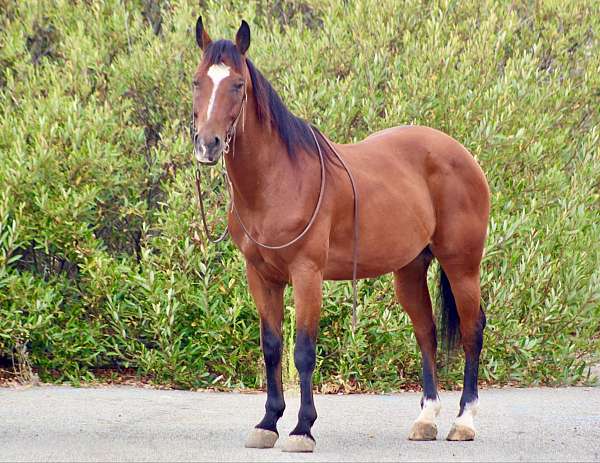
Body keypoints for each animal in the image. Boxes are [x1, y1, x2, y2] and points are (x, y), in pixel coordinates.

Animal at [190, 17, 490, 454]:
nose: (208, 144)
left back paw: (463, 421)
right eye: (197, 81)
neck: (279, 178)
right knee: (426, 332)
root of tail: (462, 155)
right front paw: (268, 423)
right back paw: (426, 418)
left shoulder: (307, 274)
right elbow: (271, 347)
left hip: (462, 265)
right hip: (409, 271)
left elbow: (302, 350)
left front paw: (302, 429)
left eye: (238, 85)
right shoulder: (261, 276)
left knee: (472, 330)